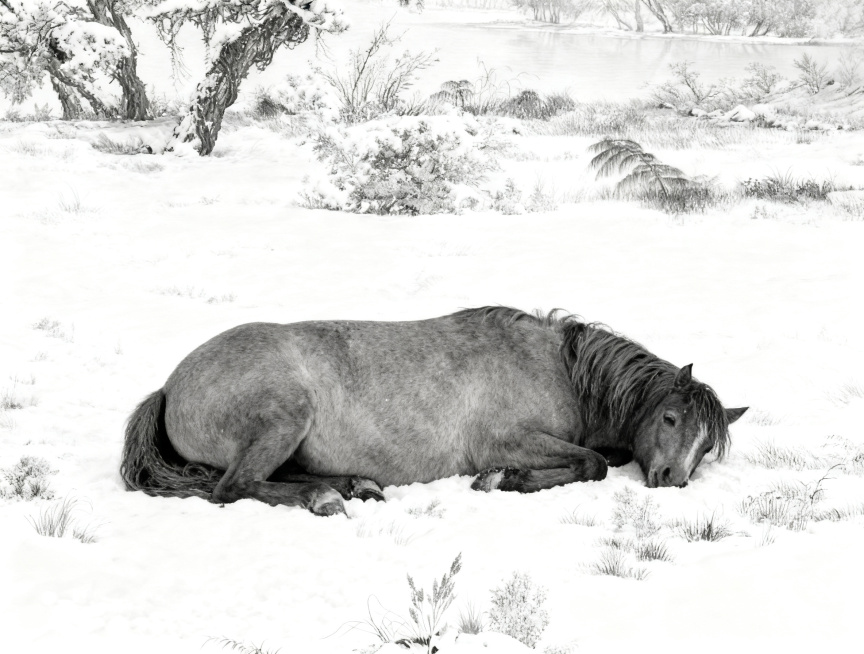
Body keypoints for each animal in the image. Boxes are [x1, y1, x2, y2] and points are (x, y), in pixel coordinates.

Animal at [121, 307, 747, 516]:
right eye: (670, 419)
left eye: (705, 447)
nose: (672, 480)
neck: (558, 369)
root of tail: (170, 386)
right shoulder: (506, 438)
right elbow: (590, 463)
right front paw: (502, 479)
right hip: (283, 420)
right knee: (234, 486)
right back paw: (325, 498)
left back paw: (354, 485)